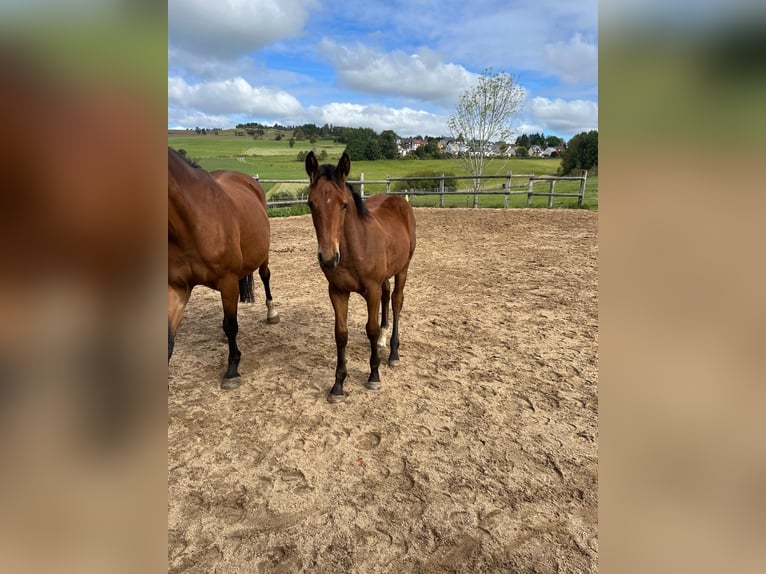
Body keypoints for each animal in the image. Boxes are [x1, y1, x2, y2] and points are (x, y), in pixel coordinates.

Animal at [168, 148, 279, 389]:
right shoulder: (177, 287)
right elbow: (168, 337)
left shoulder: (227, 281)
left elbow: (231, 325)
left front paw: (232, 370)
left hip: (262, 256)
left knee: (265, 276)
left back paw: (272, 313)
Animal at [304, 151, 416, 403]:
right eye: (310, 203)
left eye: (344, 205)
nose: (328, 258)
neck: (354, 249)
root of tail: (399, 201)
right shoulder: (337, 291)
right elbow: (341, 334)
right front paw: (338, 385)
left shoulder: (371, 291)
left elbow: (370, 328)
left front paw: (374, 376)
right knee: (387, 294)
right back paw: (383, 340)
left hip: (403, 268)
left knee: (396, 300)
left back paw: (393, 353)